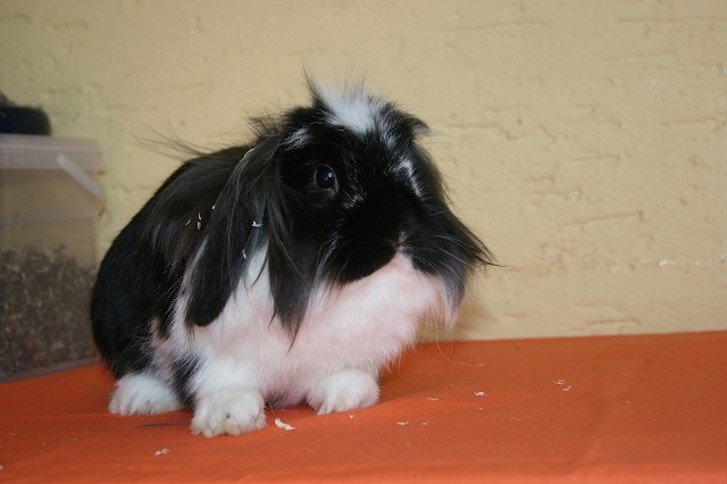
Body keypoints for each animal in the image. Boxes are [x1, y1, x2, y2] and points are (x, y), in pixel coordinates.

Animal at [91, 77, 494, 437]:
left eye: (409, 171)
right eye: (325, 177)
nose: (400, 230)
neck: (325, 286)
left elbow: (340, 373)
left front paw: (347, 396)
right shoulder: (210, 352)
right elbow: (222, 381)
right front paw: (230, 419)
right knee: (139, 368)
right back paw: (138, 402)